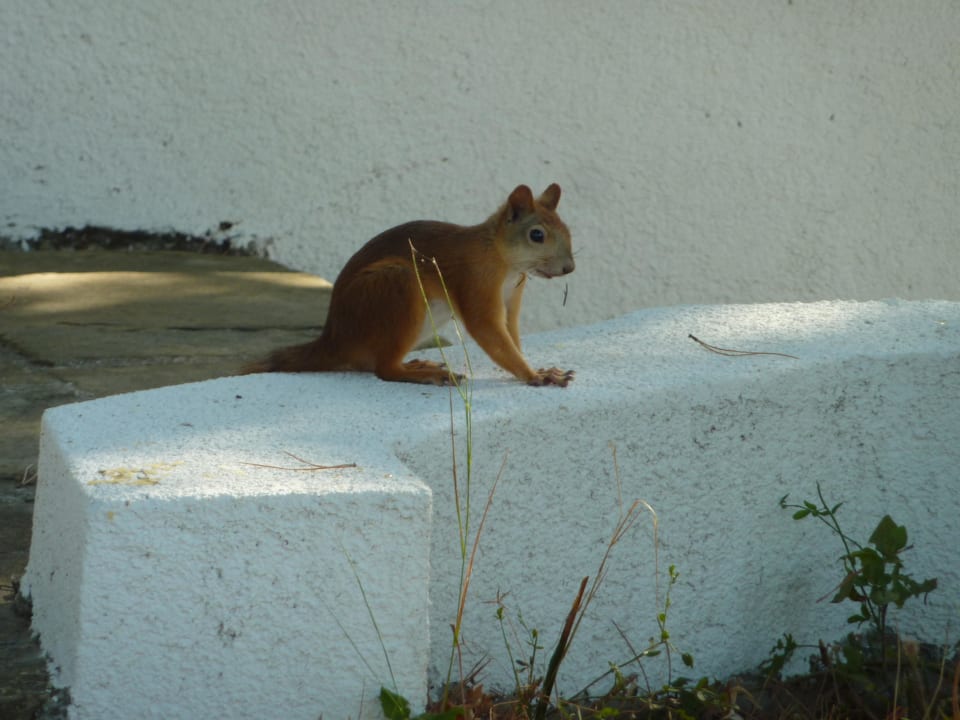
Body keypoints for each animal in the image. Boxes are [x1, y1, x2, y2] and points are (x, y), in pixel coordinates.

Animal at [242, 183, 575, 386]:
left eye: (567, 230)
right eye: (536, 235)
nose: (569, 268)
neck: (503, 261)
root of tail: (335, 339)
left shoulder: (511, 297)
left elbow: (511, 334)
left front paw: (540, 369)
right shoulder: (476, 282)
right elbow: (490, 333)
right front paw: (533, 375)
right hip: (398, 287)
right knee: (384, 370)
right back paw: (424, 374)